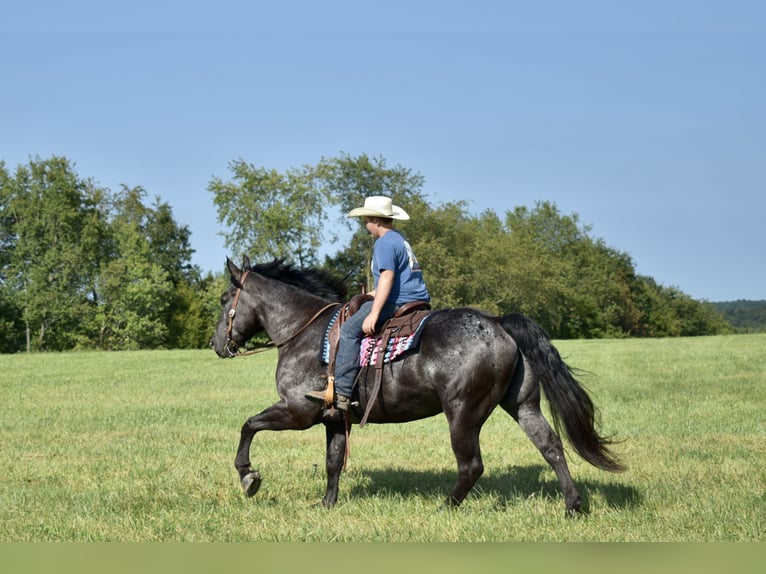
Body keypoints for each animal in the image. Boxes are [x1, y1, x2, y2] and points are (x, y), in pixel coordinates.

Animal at [208, 258, 624, 516]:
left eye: (225, 299)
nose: (216, 344)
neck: (306, 332)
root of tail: (498, 322)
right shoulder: (333, 419)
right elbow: (333, 462)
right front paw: (327, 503)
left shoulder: (298, 411)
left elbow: (248, 425)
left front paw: (248, 476)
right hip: (523, 405)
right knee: (551, 447)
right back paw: (573, 506)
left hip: (463, 414)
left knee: (471, 465)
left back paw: (447, 506)